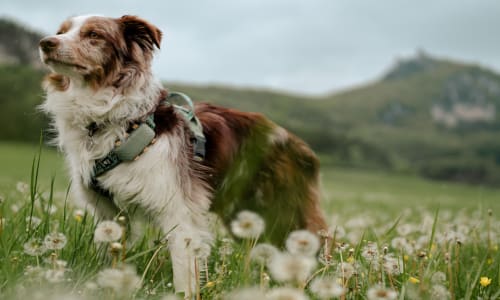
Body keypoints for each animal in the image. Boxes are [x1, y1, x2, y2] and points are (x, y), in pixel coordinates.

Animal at [39, 15, 328, 296]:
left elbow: (183, 272)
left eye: (94, 35)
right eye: (61, 31)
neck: (117, 122)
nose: (46, 43)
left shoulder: (179, 210)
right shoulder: (108, 212)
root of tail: (297, 143)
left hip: (283, 212)